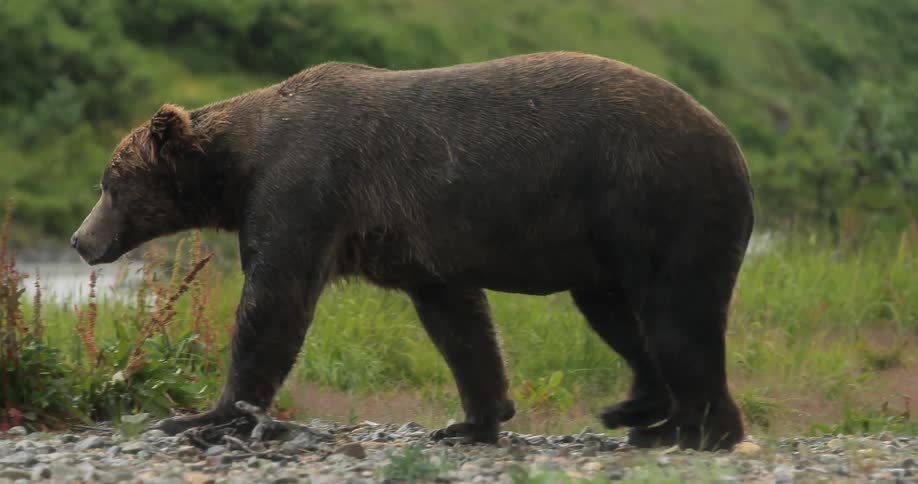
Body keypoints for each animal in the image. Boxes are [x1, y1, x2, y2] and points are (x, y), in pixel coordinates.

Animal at [71, 51, 754, 450]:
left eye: (109, 184)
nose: (81, 240)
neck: (239, 166)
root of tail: (731, 141)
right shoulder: (418, 246)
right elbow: (459, 323)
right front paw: (471, 419)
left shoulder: (304, 190)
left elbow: (274, 301)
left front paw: (200, 416)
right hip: (602, 242)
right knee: (620, 316)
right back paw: (639, 410)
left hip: (656, 198)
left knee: (676, 318)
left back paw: (691, 430)